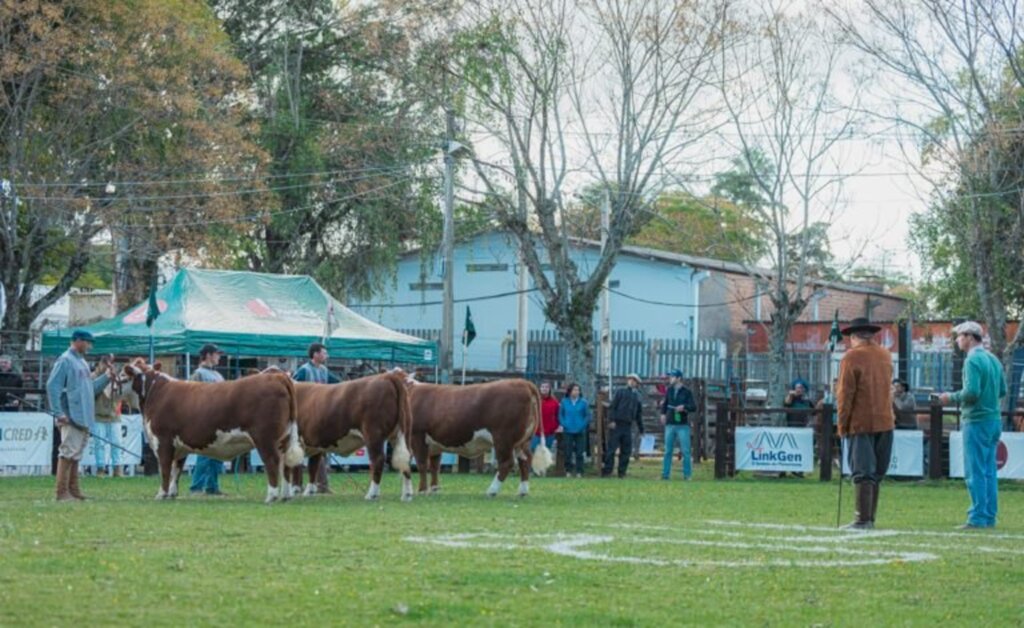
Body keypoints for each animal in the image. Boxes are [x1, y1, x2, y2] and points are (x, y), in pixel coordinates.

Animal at [121, 360, 301, 501]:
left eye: (122, 376)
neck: (155, 392)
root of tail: (278, 376)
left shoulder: (163, 440)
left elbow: (165, 469)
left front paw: (161, 494)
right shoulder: (179, 445)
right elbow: (176, 470)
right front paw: (172, 493)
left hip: (265, 439)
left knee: (273, 462)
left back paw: (271, 496)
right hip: (284, 438)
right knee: (286, 464)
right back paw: (285, 496)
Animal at [407, 374, 552, 497]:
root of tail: (523, 382)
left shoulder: (417, 435)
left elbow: (421, 464)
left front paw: (422, 490)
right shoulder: (435, 443)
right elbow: (435, 466)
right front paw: (434, 489)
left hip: (503, 439)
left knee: (507, 463)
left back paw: (492, 491)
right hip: (523, 441)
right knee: (525, 460)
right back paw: (523, 491)